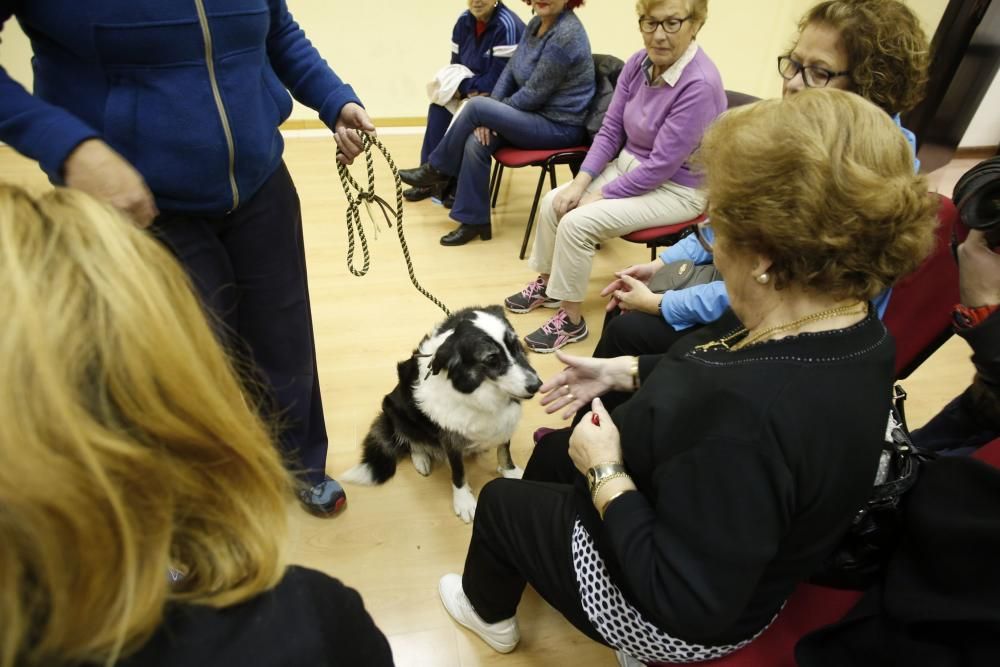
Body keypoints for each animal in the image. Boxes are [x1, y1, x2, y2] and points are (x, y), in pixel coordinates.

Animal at [346, 306, 548, 520]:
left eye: (515, 345)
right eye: (491, 359)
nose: (537, 386)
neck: (478, 392)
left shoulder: (505, 421)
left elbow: (504, 450)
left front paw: (511, 472)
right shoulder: (450, 438)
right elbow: (458, 472)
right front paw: (464, 501)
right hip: (396, 411)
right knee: (409, 441)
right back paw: (421, 458)